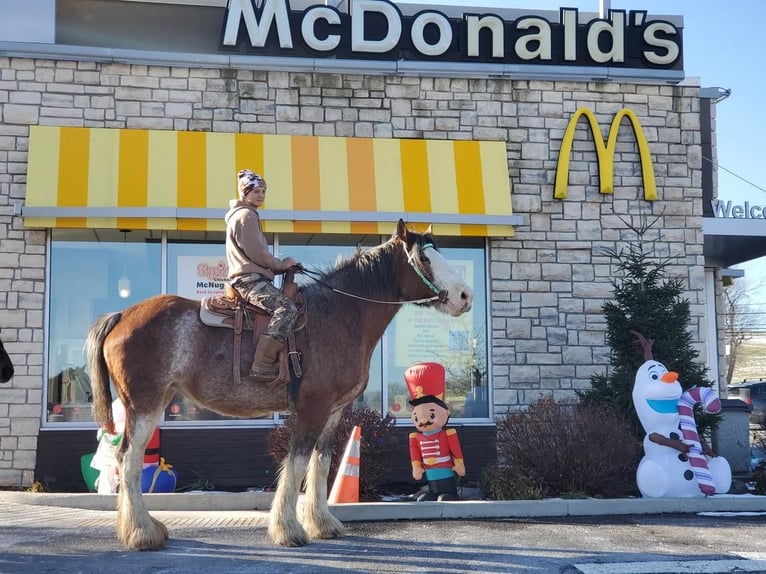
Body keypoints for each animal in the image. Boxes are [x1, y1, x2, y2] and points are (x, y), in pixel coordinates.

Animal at [85, 218, 474, 552]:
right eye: (424, 258)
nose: (465, 296)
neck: (341, 313)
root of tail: (122, 315)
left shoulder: (333, 412)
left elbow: (321, 463)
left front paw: (322, 524)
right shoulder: (313, 407)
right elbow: (297, 462)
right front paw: (289, 529)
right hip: (144, 403)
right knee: (129, 460)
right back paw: (142, 533)